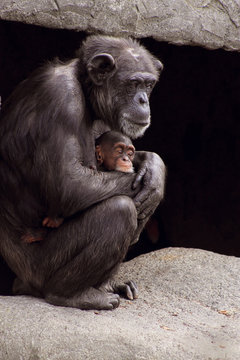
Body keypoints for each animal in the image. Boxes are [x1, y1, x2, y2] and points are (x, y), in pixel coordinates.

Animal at [0, 35, 165, 310]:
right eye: (133, 84)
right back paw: (73, 294)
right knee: (119, 210)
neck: (86, 93)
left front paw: (154, 169)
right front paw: (155, 186)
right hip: (39, 268)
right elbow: (70, 184)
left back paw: (108, 285)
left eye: (149, 84)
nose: (143, 100)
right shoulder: (60, 98)